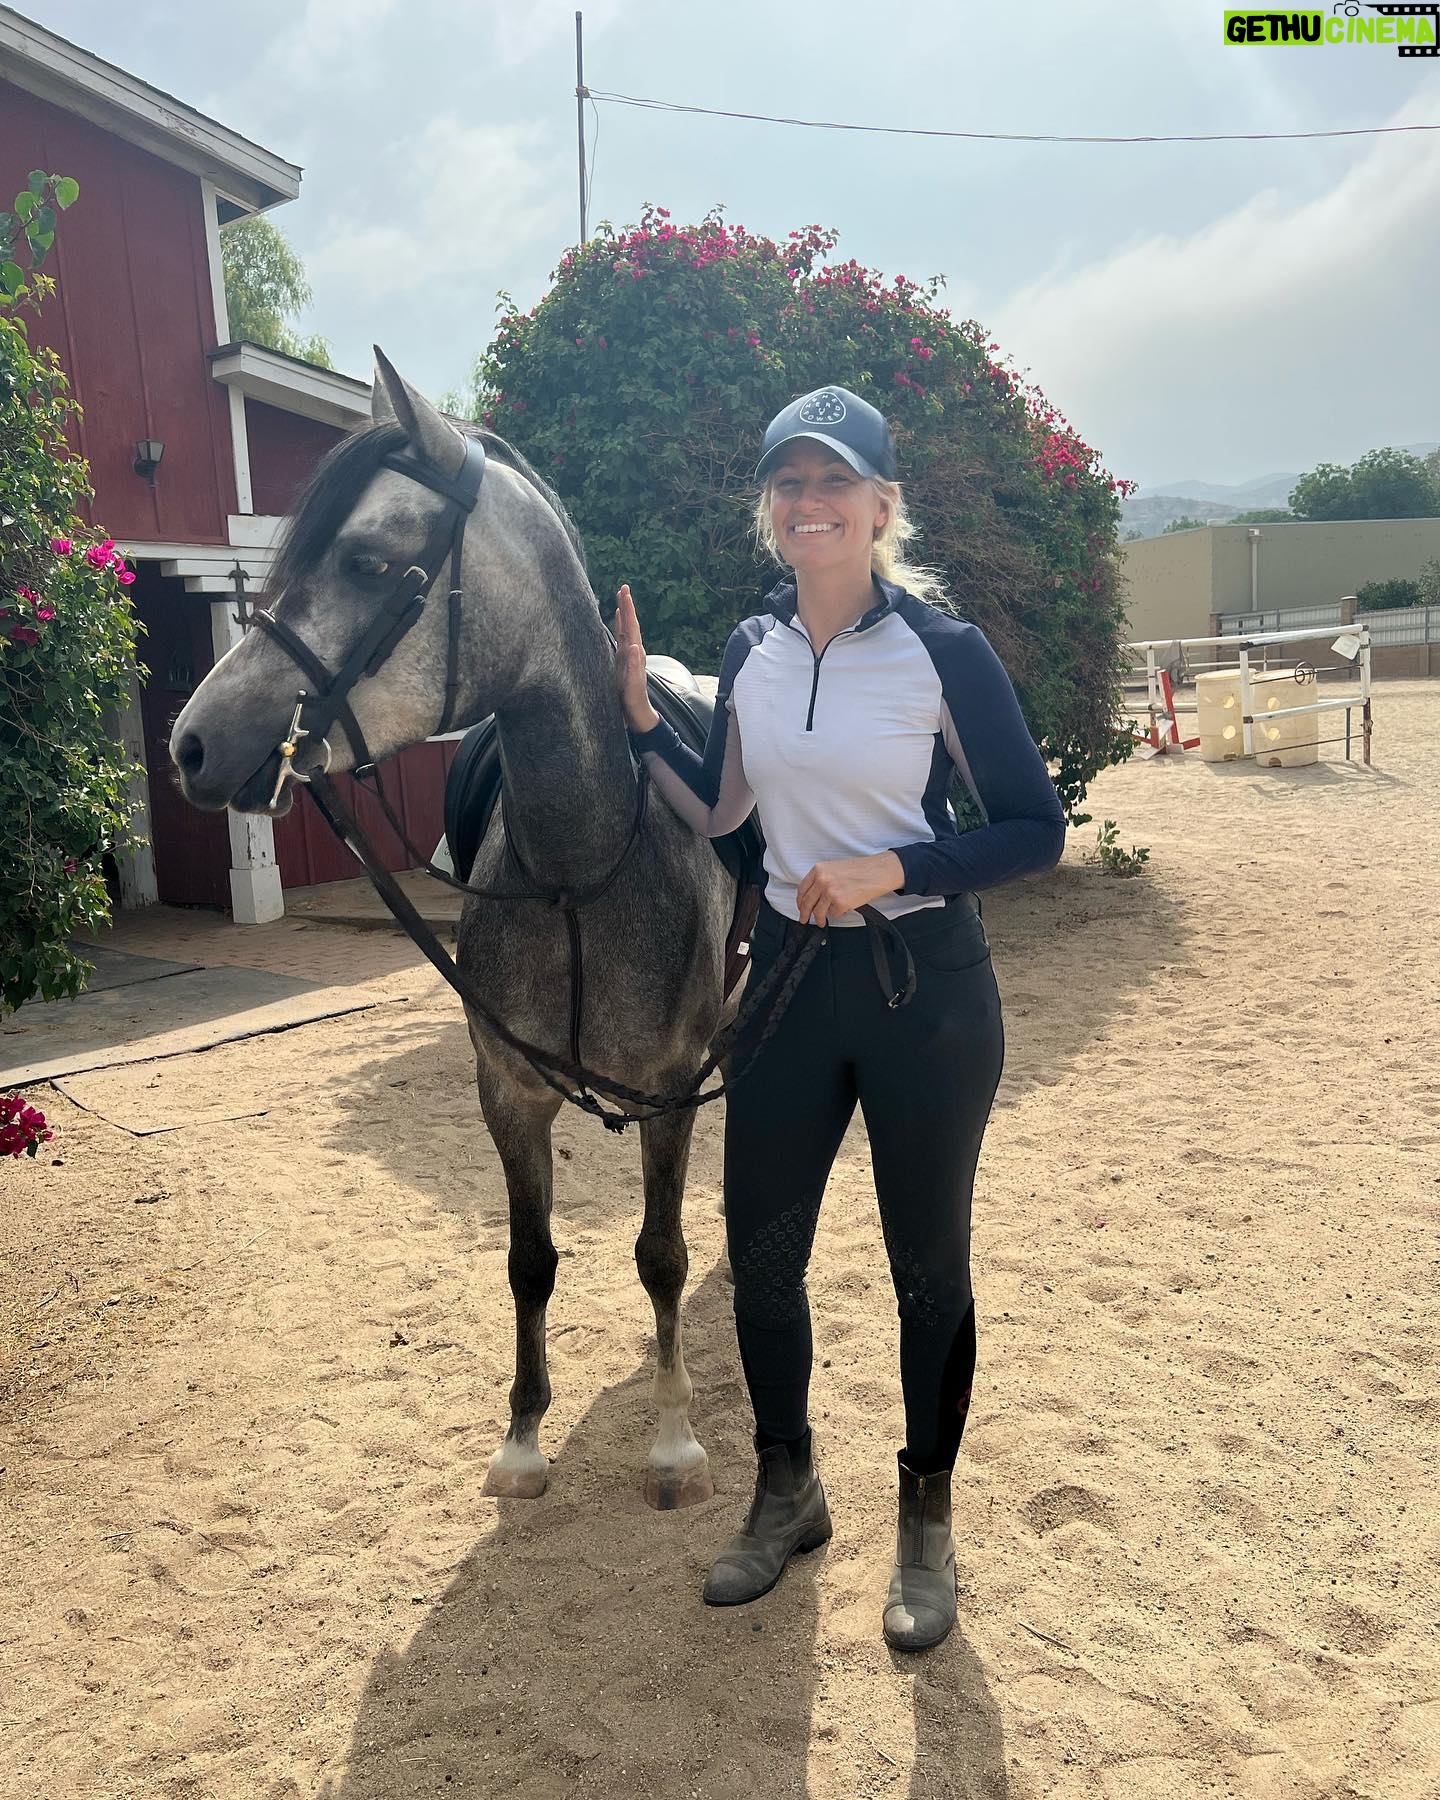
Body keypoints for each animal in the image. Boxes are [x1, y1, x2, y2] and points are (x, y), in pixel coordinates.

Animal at [169, 350, 737, 1510]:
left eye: (366, 560)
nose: (191, 743)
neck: (580, 869)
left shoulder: (669, 1094)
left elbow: (660, 1254)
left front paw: (671, 1438)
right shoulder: (507, 1095)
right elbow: (531, 1261)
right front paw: (522, 1438)